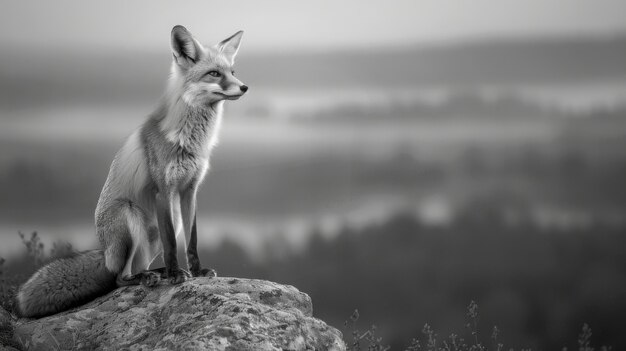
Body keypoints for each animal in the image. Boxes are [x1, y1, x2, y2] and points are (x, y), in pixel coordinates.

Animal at [17, 23, 246, 318]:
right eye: (214, 73)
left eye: (233, 72)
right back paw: (150, 277)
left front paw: (195, 271)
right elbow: (172, 245)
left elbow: (192, 242)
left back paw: (157, 273)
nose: (244, 87)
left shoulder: (189, 191)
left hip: (160, 227)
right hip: (129, 217)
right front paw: (176, 275)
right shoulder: (164, 191)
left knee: (139, 266)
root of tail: (104, 253)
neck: (190, 140)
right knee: (119, 279)